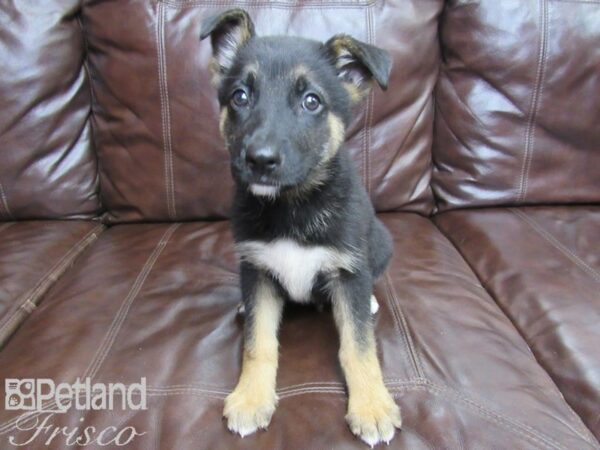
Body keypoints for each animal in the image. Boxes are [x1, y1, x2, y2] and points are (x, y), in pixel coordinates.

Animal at [199, 7, 400, 446]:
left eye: (312, 102)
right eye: (240, 96)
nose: (259, 159)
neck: (291, 206)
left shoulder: (348, 268)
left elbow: (359, 347)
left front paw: (372, 405)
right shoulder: (255, 267)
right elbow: (258, 343)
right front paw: (251, 397)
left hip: (380, 242)